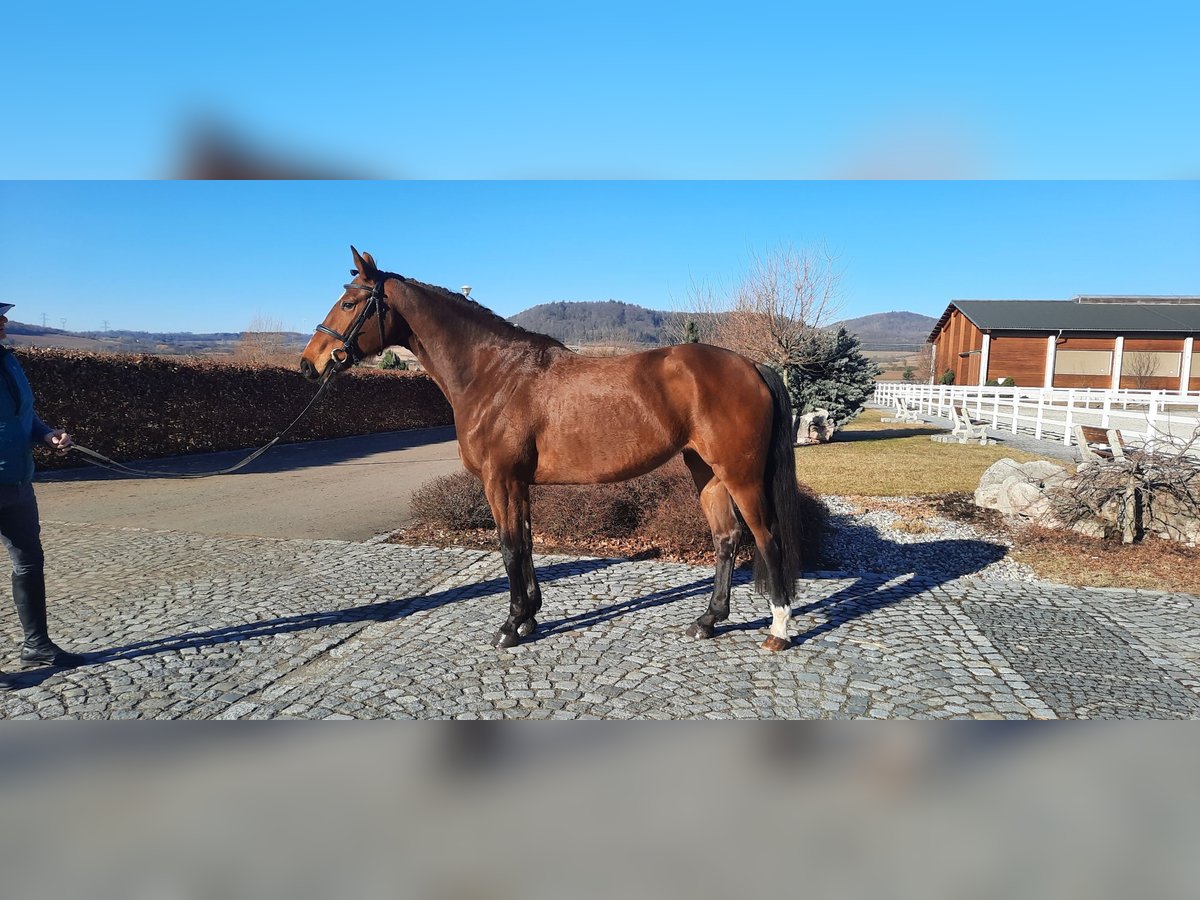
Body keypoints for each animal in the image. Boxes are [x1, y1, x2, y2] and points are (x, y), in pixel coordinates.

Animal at [300, 250, 806, 652]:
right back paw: (707, 621)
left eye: (349, 303)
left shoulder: (500, 480)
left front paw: (509, 627)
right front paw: (529, 619)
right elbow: (524, 544)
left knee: (767, 537)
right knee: (727, 539)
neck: (495, 374)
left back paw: (778, 630)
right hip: (706, 471)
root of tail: (752, 365)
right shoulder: (518, 483)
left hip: (740, 475)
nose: (309, 364)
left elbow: (508, 547)